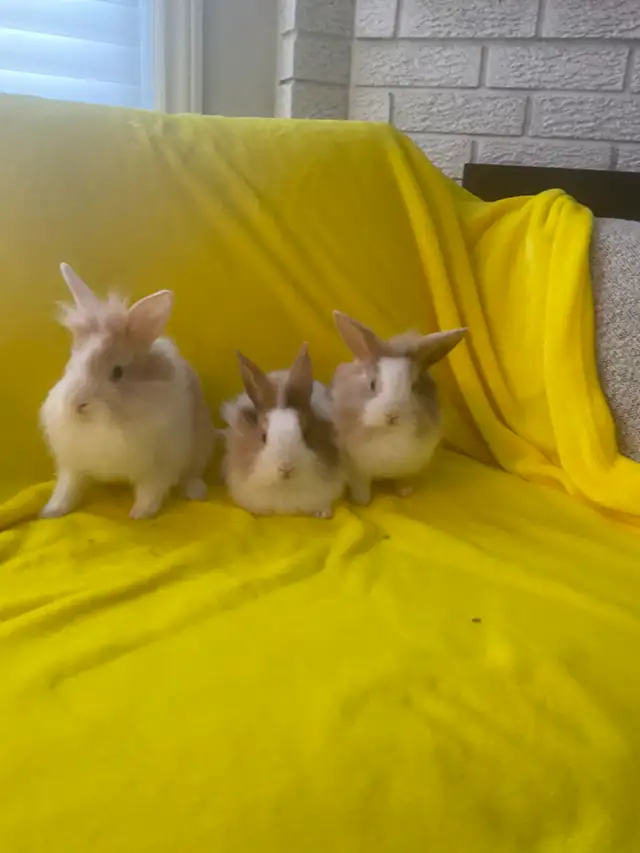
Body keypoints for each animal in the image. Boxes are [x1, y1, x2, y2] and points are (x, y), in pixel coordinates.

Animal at [39, 263, 213, 519]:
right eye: (72, 362)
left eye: (117, 372)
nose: (76, 405)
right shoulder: (73, 463)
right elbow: (67, 487)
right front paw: (51, 511)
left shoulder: (158, 466)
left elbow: (150, 491)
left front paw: (138, 514)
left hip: (199, 448)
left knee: (193, 473)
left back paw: (196, 492)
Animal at [330, 311, 466, 506]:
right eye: (372, 384)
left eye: (414, 386)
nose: (392, 415)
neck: (389, 434)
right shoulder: (357, 471)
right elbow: (361, 488)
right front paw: (361, 502)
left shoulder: (406, 467)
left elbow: (402, 480)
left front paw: (405, 492)